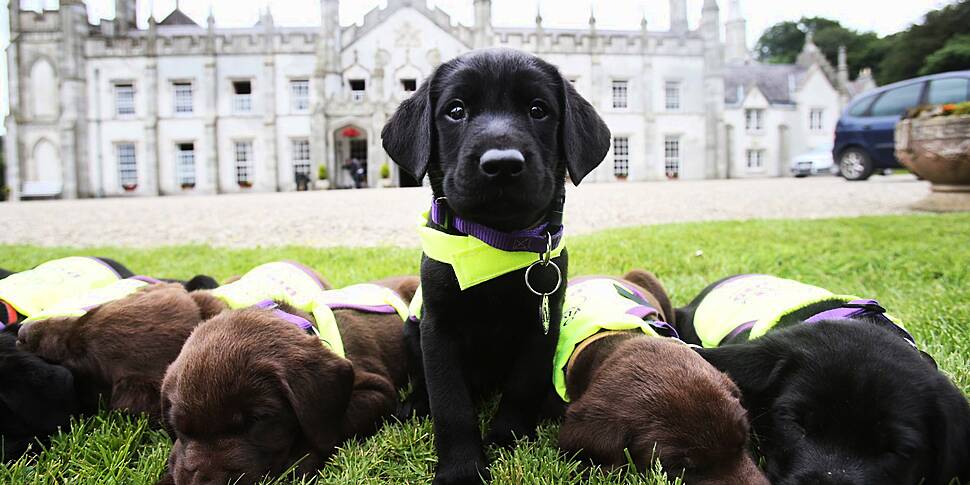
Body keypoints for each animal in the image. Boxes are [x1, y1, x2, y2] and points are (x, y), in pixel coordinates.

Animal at [382, 47, 608, 482]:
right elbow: (450, 403)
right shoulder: (438, 327)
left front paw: (508, 437)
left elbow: (521, 385)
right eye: (456, 110)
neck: (495, 241)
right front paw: (462, 469)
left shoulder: (541, 325)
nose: (502, 163)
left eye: (538, 110)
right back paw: (414, 403)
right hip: (410, 330)